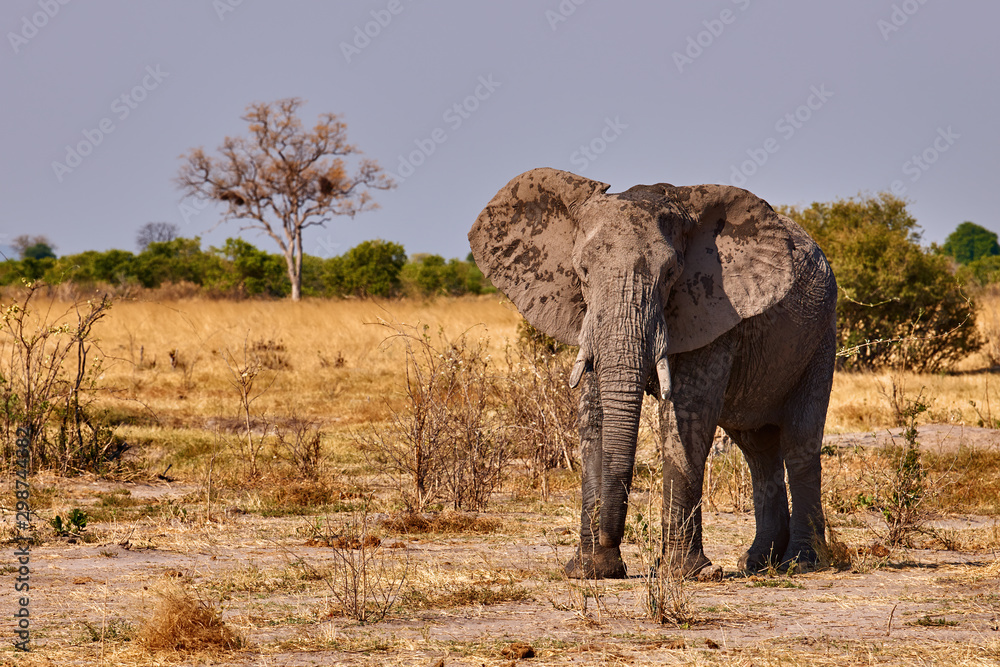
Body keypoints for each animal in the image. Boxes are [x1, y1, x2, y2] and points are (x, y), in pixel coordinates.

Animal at [468, 168, 837, 579]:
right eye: (582, 271)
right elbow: (594, 417)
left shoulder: (713, 308)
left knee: (799, 441)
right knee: (757, 449)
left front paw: (685, 573)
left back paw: (801, 561)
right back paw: (758, 562)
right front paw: (590, 571)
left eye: (671, 273)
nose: (612, 543)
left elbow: (686, 417)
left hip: (820, 335)